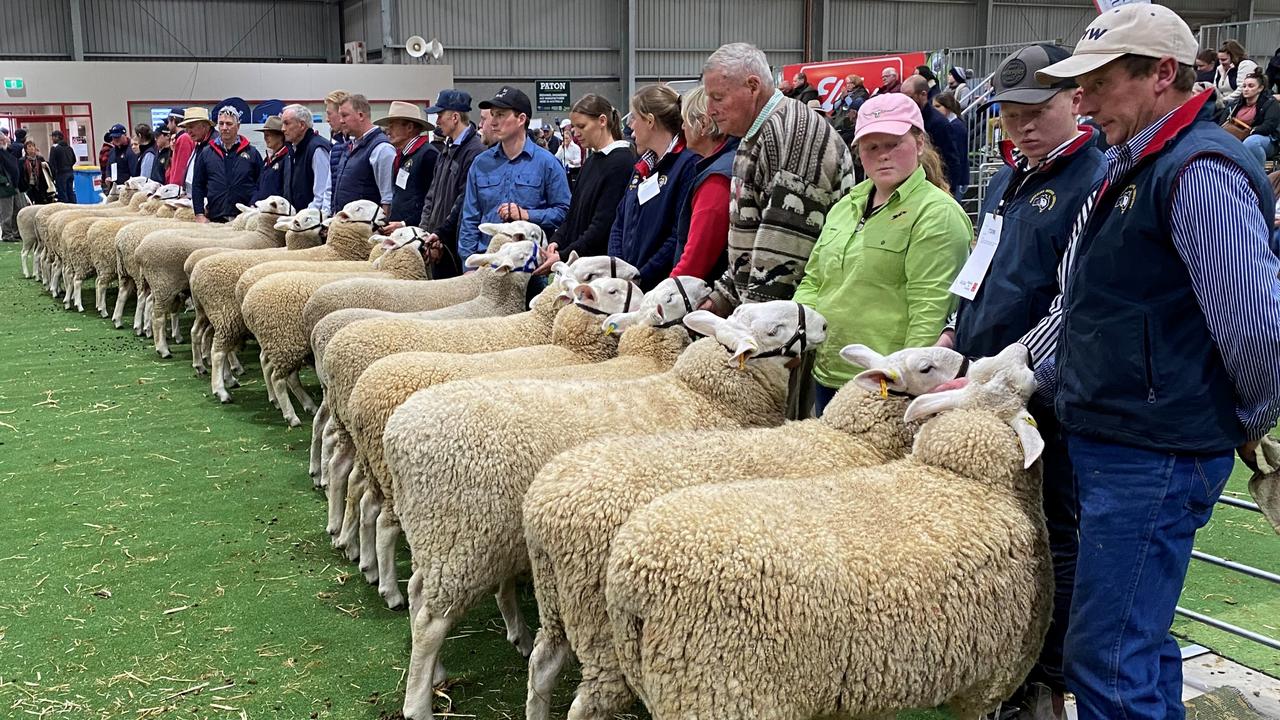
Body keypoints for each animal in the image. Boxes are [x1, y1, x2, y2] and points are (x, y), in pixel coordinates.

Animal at [378, 298, 824, 717]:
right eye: (774, 329)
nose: (821, 323)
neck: (706, 398)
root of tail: (397, 433)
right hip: (462, 539)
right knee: (431, 620)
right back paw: (418, 704)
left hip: (442, 536)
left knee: (419, 593)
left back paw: (438, 671)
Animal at [514, 340, 962, 717]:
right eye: (926, 367)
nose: (966, 361)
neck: (851, 441)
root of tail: (541, 508)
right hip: (596, 617)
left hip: (556, 599)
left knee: (543, 663)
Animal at [604, 345, 1054, 717]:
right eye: (926, 367)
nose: (1023, 348)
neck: (963, 479)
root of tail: (631, 576)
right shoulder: (992, 679)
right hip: (720, 690)